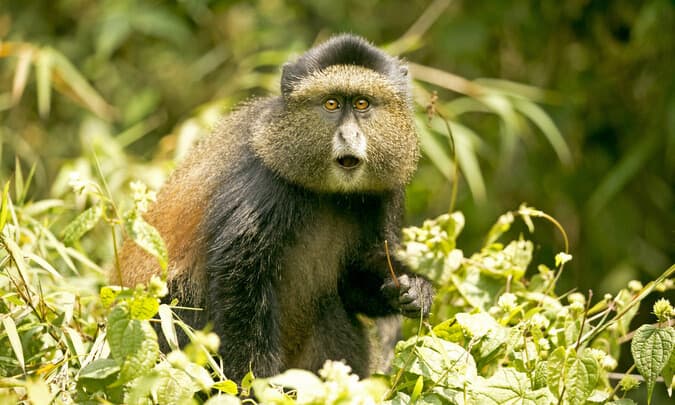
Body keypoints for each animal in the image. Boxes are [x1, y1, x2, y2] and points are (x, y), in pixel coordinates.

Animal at [118, 34, 434, 382]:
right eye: (332, 104)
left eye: (362, 104)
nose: (348, 134)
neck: (332, 194)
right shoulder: (264, 183)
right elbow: (238, 278)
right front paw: (255, 384)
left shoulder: (387, 189)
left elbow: (353, 278)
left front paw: (415, 290)